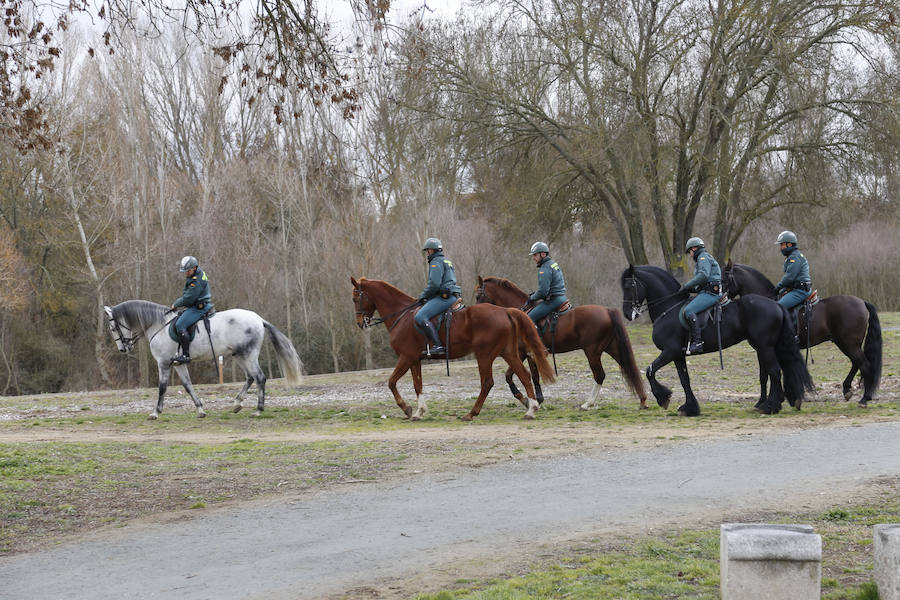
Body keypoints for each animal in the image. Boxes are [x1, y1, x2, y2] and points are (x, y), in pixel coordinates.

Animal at [104, 300, 304, 418]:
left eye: (113, 328)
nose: (123, 348)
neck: (158, 325)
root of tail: (259, 319)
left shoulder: (164, 363)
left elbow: (162, 388)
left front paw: (155, 412)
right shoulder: (177, 363)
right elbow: (187, 385)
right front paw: (200, 409)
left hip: (248, 355)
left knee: (260, 378)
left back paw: (258, 410)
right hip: (239, 355)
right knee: (250, 378)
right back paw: (237, 403)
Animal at [352, 278, 556, 422]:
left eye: (355, 298)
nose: (360, 323)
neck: (402, 315)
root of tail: (505, 311)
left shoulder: (406, 357)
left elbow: (392, 382)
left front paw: (407, 408)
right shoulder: (415, 360)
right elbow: (417, 385)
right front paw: (419, 411)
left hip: (484, 355)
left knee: (487, 382)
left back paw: (472, 413)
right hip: (508, 352)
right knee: (524, 375)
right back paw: (531, 408)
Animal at [474, 276, 652, 412]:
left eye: (478, 296)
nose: (476, 313)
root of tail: (607, 310)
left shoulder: (524, 353)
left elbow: (519, 376)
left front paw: (530, 400)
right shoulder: (526, 354)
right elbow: (521, 376)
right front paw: (532, 400)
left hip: (592, 352)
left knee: (600, 375)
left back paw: (587, 404)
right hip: (612, 348)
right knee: (629, 368)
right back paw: (643, 400)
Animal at [620, 264, 816, 414]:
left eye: (629, 286)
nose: (627, 314)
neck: (669, 308)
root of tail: (776, 304)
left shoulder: (670, 351)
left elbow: (649, 371)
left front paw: (663, 397)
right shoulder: (678, 355)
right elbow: (684, 379)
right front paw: (690, 407)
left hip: (765, 347)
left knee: (774, 372)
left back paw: (770, 406)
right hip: (768, 347)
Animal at [720, 260, 884, 406]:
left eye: (723, 279)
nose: (721, 299)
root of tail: (862, 302)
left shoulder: (764, 349)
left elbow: (766, 375)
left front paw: (769, 400)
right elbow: (769, 374)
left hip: (848, 344)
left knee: (864, 365)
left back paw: (864, 398)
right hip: (845, 343)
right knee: (857, 363)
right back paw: (848, 390)